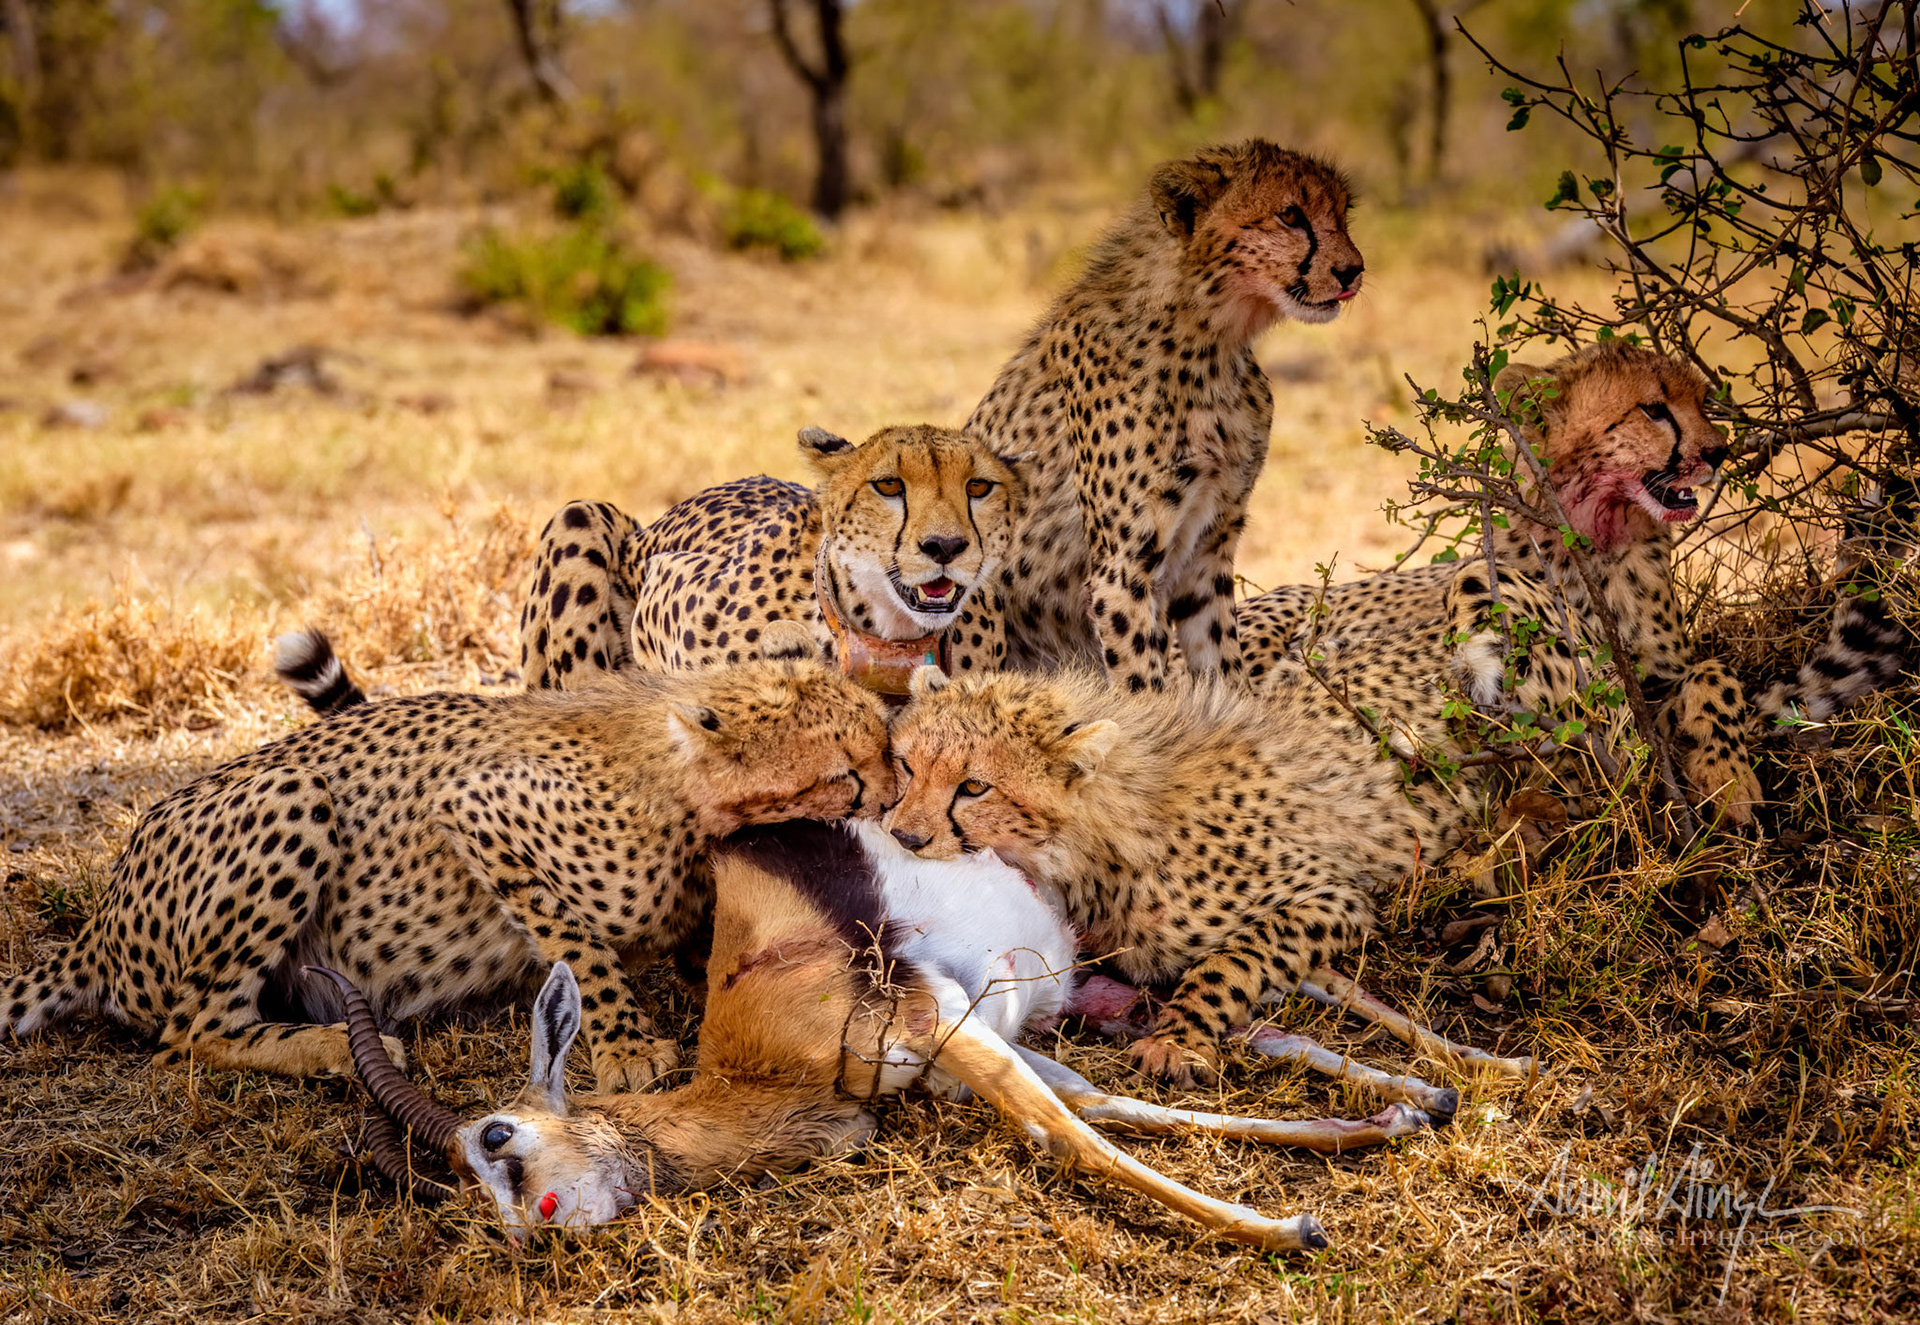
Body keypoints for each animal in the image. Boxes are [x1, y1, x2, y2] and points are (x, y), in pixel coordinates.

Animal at [1, 625, 893, 1093]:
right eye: (848, 772)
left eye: (881, 746)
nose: (894, 796)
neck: (680, 782)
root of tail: (98, 927)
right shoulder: (478, 809)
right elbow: (579, 943)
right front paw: (627, 1046)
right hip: (295, 793)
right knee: (189, 1032)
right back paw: (338, 1048)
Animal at [516, 424, 1025, 697]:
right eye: (888, 485)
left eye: (978, 486)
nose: (945, 546)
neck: (887, 636)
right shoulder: (661, 591)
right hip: (580, 515)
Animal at [961, 138, 1365, 694]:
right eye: (1290, 215)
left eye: (1343, 214)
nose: (1354, 270)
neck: (1209, 343)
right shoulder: (1121, 570)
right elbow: (1144, 685)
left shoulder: (1208, 546)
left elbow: (1222, 668)